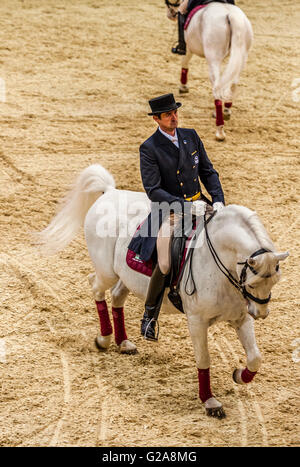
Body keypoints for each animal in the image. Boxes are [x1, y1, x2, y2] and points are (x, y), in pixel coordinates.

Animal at [37, 165, 288, 420]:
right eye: (253, 283)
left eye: (274, 281)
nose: (261, 313)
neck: (219, 261)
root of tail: (109, 192)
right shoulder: (197, 321)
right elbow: (204, 358)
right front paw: (210, 402)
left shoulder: (241, 317)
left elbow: (255, 357)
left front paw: (239, 375)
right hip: (108, 271)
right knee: (95, 286)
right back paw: (104, 339)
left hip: (128, 277)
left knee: (116, 296)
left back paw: (123, 342)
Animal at [166, 0, 253, 142]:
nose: (170, 14)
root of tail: (230, 14)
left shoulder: (188, 46)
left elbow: (184, 61)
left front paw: (183, 86)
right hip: (241, 57)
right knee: (232, 85)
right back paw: (226, 111)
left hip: (213, 58)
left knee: (217, 90)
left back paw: (219, 131)